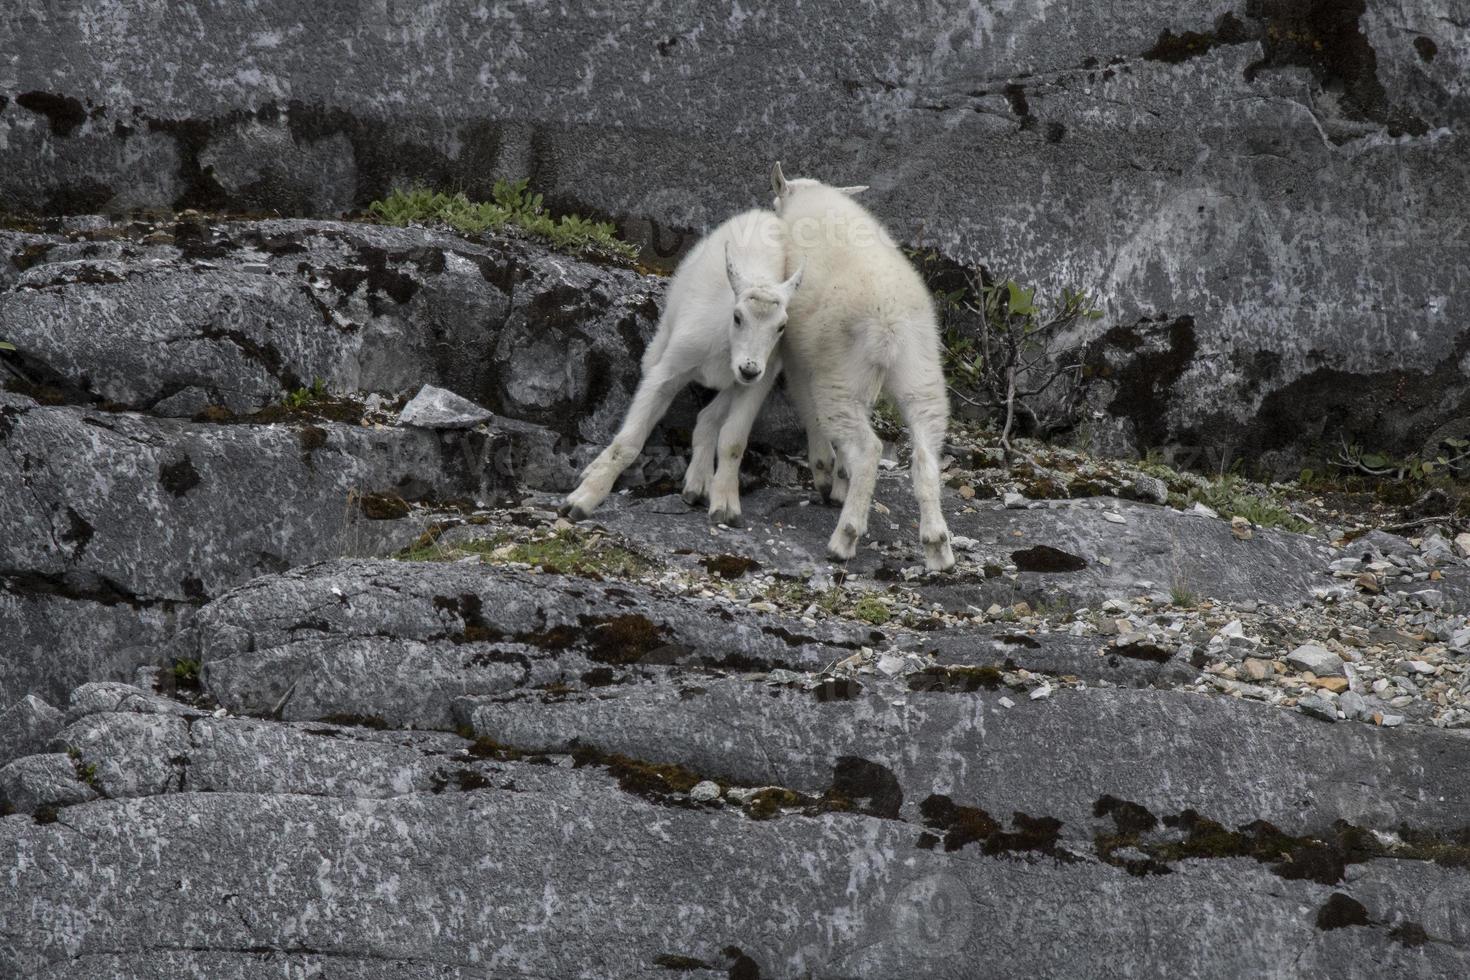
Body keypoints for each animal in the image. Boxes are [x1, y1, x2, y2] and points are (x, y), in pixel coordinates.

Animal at [555, 210, 805, 525]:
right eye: (737, 317)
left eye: (781, 327)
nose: (749, 369)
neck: (726, 345)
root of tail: (764, 215)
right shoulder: (669, 370)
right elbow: (628, 441)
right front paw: (583, 500)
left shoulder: (757, 383)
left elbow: (733, 442)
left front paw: (725, 505)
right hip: (663, 340)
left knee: (707, 417)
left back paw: (698, 483)